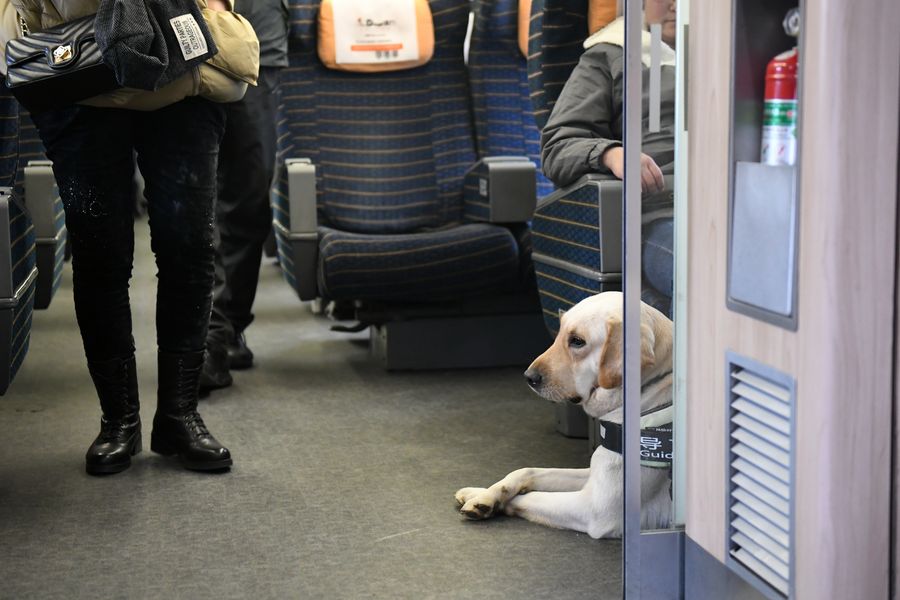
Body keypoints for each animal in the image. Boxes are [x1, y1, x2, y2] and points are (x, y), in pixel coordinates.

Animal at [454, 292, 672, 540]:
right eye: (559, 335)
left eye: (577, 341)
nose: (528, 377)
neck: (649, 389)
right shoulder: (592, 475)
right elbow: (526, 471)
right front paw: (481, 495)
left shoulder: (596, 509)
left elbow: (528, 497)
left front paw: (497, 504)